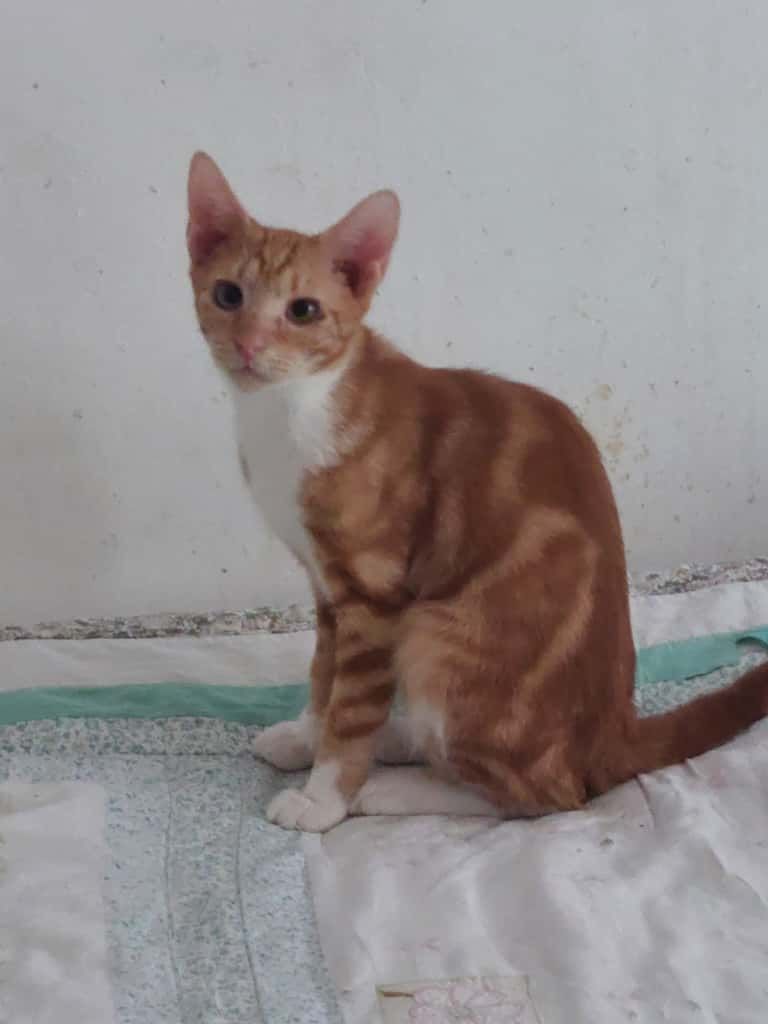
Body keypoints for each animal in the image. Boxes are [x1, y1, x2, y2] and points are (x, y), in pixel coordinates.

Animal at [186, 151, 768, 832]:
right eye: (228, 295)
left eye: (302, 311)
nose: (248, 345)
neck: (291, 409)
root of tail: (614, 733)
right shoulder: (326, 587)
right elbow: (323, 674)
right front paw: (306, 737)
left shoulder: (372, 592)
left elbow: (349, 710)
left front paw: (323, 796)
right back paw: (401, 740)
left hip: (433, 634)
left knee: (546, 796)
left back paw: (393, 788)